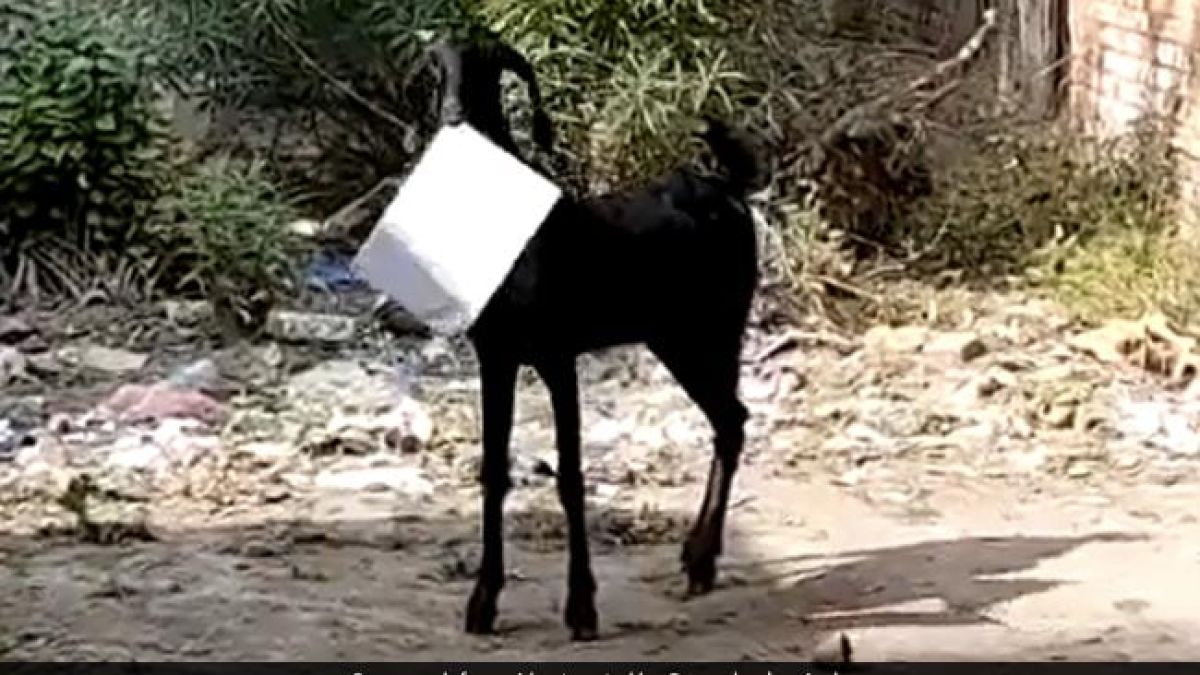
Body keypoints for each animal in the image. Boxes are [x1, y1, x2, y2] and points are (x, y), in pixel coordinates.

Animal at [462, 115, 767, 640]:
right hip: (677, 337)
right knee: (730, 419)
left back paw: (700, 560)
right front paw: (483, 601)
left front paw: (581, 609)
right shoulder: (494, 353)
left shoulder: (557, 354)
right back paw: (698, 559)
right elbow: (494, 471)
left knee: (731, 420)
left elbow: (570, 477)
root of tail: (730, 189)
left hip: (710, 330)